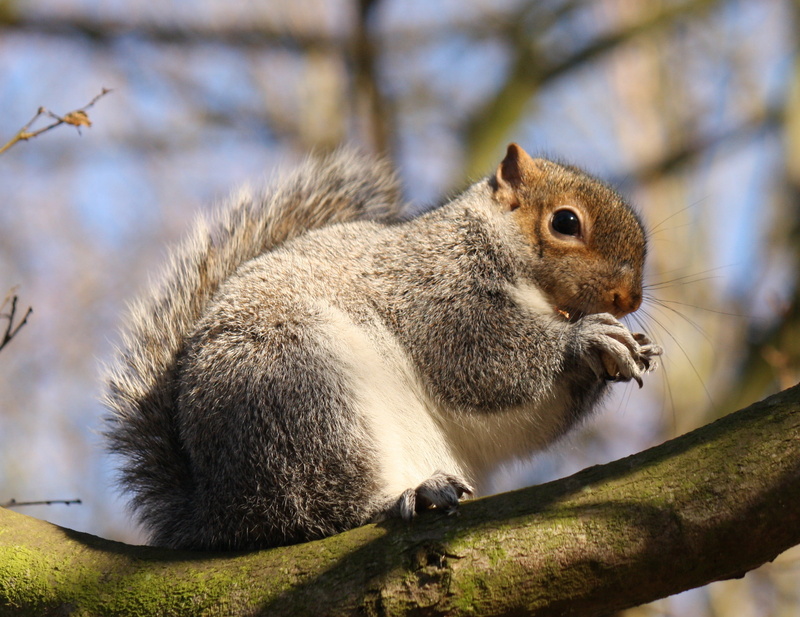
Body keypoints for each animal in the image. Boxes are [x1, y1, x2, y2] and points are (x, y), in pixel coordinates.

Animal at [104, 143, 662, 551]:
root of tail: (217, 515)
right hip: (298, 395)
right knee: (316, 507)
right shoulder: (435, 290)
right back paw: (406, 497)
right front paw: (584, 339)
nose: (628, 298)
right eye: (565, 222)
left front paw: (629, 349)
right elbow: (480, 359)